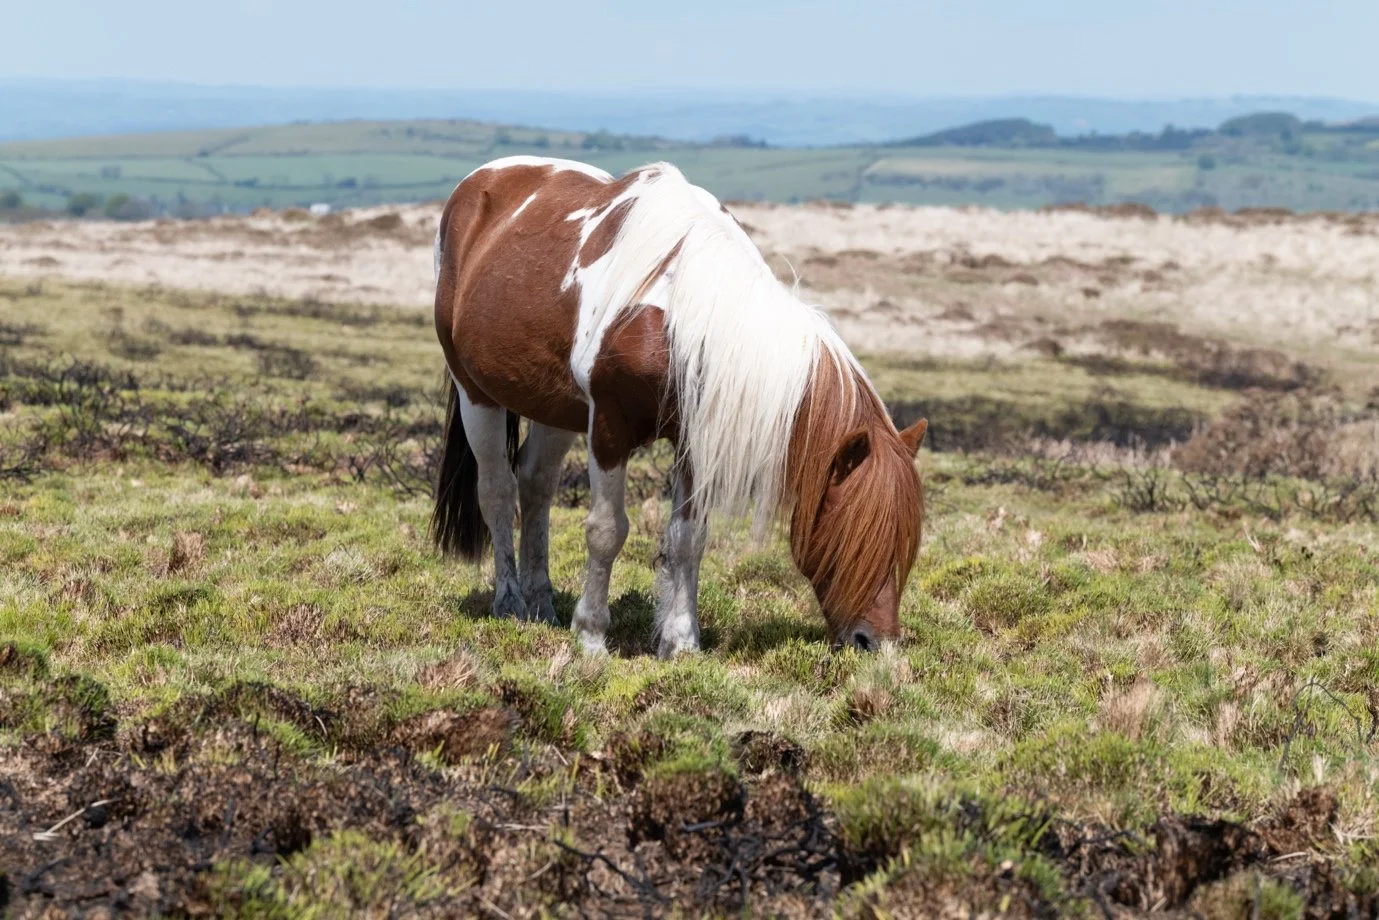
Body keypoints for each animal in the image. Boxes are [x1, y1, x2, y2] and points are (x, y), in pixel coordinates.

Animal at [431, 156, 926, 658]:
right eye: (855, 532)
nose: (876, 642)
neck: (678, 312)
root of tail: (481, 181)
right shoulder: (608, 427)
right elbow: (606, 530)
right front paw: (591, 635)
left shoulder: (692, 438)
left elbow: (688, 538)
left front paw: (681, 642)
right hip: (476, 393)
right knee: (497, 489)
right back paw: (510, 602)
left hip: (556, 409)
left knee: (536, 484)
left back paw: (541, 604)